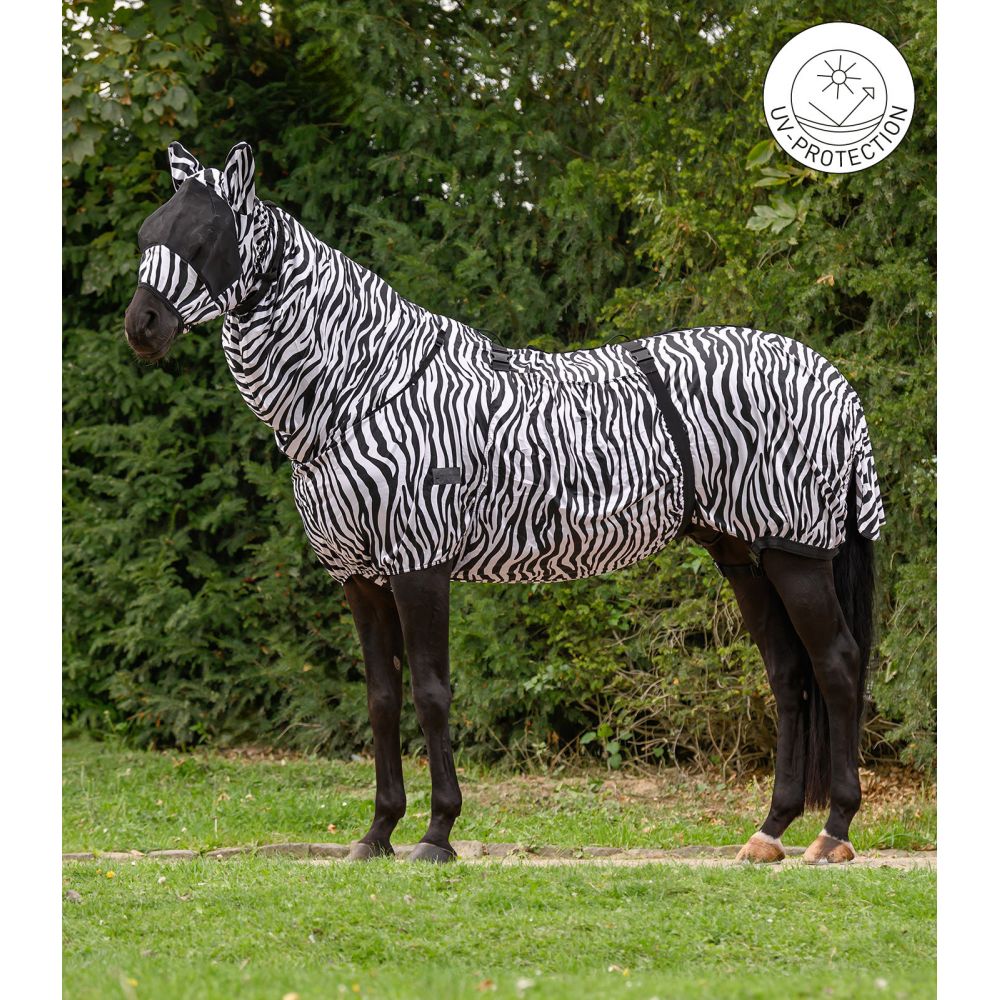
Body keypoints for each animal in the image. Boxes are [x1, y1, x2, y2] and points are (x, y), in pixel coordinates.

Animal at [125, 141, 885, 865]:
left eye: (204, 238)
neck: (362, 388)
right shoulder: (360, 579)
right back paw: (771, 830)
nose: (142, 327)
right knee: (788, 673)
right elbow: (381, 700)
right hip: (744, 553)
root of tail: (832, 379)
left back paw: (834, 831)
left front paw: (437, 833)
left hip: (795, 554)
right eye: (146, 234)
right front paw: (378, 833)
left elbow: (431, 693)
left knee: (837, 665)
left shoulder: (420, 563)